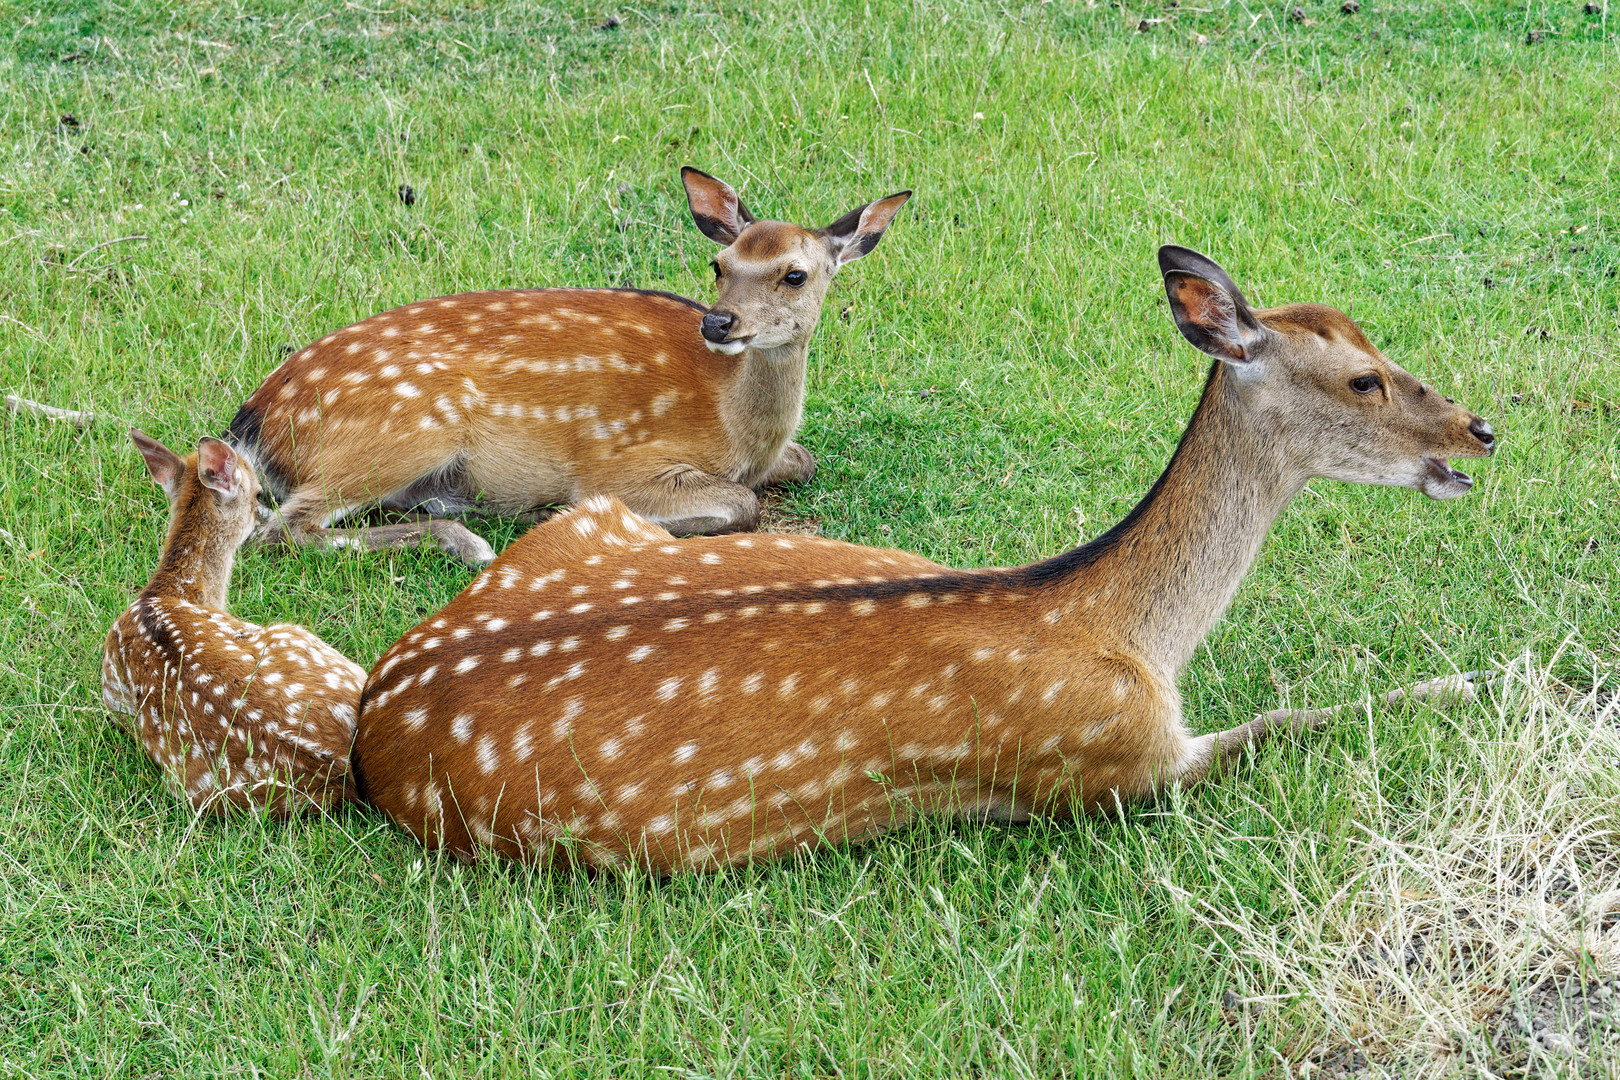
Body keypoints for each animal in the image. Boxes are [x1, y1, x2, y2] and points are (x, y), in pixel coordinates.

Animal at [226, 166, 913, 566]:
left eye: (795, 275)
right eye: (719, 266)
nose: (719, 323)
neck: (737, 429)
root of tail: (253, 424)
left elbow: (804, 461)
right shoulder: (621, 461)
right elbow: (743, 504)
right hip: (404, 429)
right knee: (283, 528)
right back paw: (472, 540)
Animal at [348, 244, 1496, 867]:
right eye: (1362, 378)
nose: (1479, 431)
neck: (1131, 637)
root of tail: (377, 710)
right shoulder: (1113, 767)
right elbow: (1292, 722)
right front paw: (1480, 677)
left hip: (589, 520)